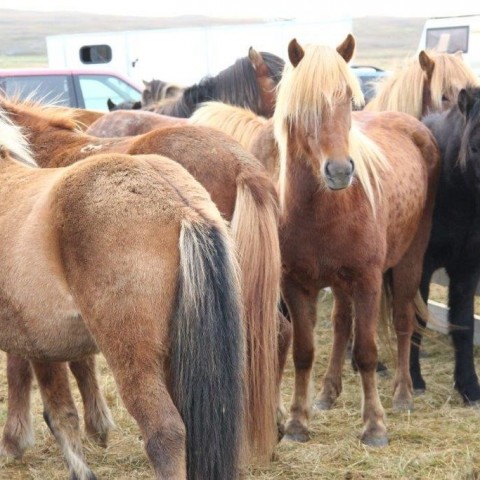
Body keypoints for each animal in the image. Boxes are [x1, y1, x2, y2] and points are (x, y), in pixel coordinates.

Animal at [272, 36, 440, 446]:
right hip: (340, 282)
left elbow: (365, 351)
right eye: (305, 105)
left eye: (349, 99)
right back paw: (327, 393)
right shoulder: (296, 284)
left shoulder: (367, 281)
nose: (339, 171)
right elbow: (304, 352)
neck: (322, 210)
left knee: (402, 322)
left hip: (409, 260)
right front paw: (298, 422)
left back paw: (402, 394)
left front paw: (375, 425)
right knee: (340, 325)